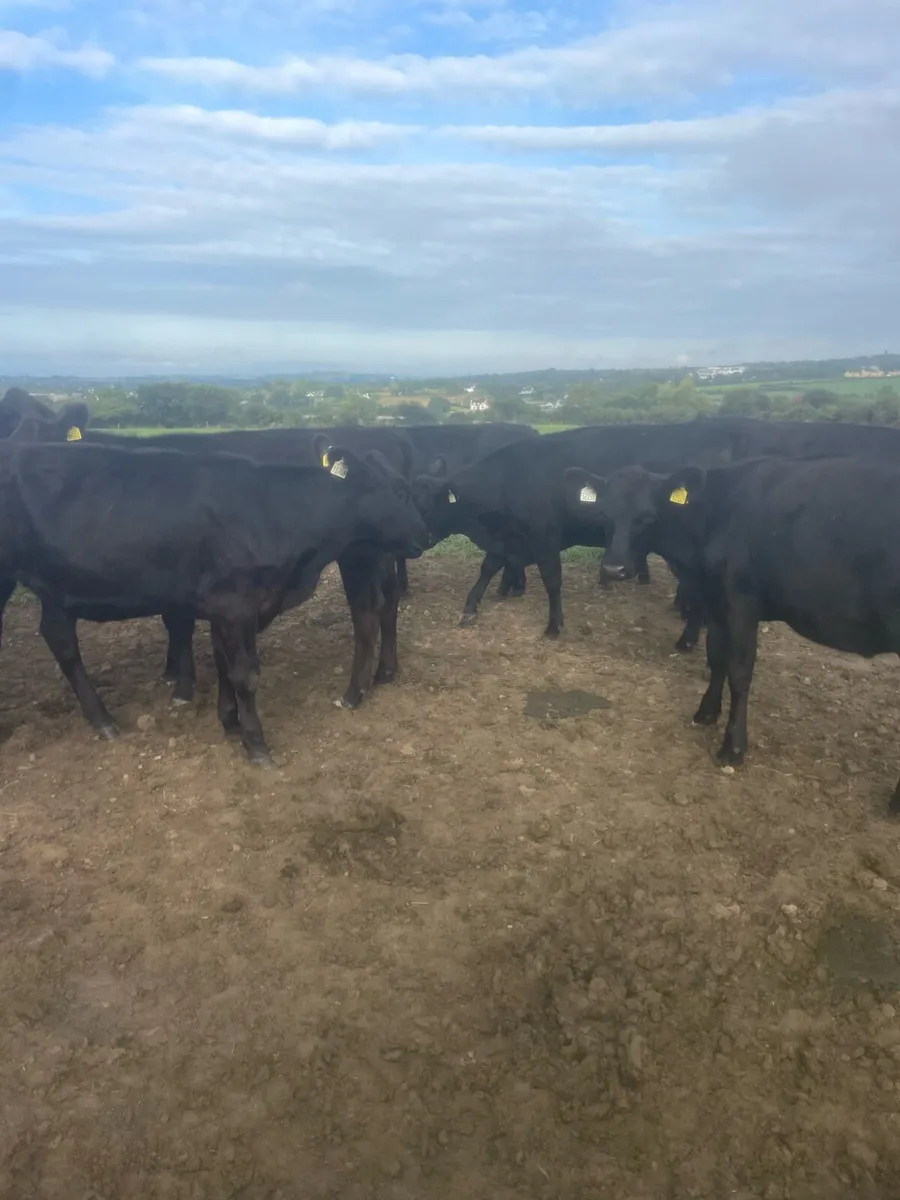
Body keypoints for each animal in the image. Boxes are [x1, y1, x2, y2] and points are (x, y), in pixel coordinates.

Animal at [0, 438, 429, 764]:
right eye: (399, 492)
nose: (423, 536)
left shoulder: (233, 609)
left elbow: (224, 663)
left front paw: (230, 721)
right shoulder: (234, 605)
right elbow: (245, 675)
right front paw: (256, 745)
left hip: (55, 588)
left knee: (60, 639)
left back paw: (101, 719)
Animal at [564, 456, 900, 811]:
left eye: (647, 515)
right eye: (604, 513)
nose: (613, 569)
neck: (714, 514)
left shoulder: (741, 602)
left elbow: (739, 672)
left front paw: (733, 747)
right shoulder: (715, 601)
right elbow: (717, 657)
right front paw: (706, 712)